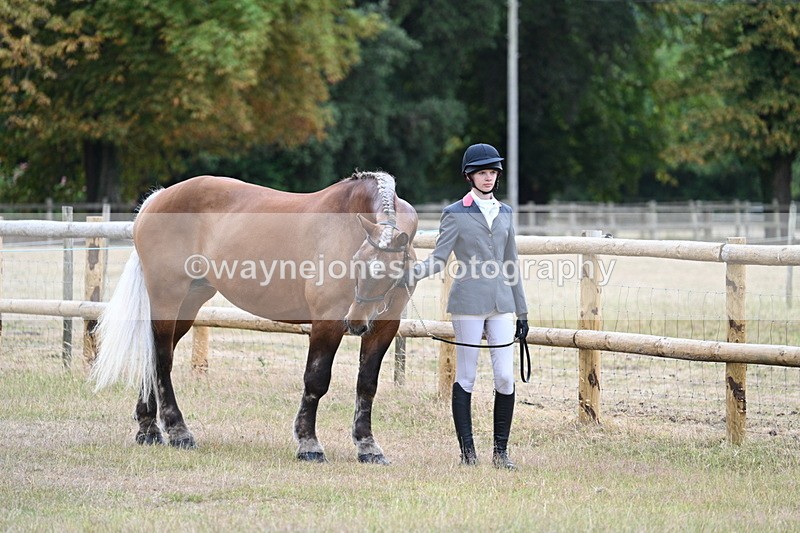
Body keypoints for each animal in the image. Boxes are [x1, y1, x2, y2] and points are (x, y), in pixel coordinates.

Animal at [91, 171, 418, 464]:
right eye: (357, 262)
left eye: (391, 273)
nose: (357, 322)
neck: (347, 223)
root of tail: (156, 199)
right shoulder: (327, 321)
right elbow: (316, 381)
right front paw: (309, 445)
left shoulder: (385, 327)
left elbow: (367, 385)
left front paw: (368, 447)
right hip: (167, 299)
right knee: (161, 360)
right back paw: (178, 432)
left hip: (190, 303)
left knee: (156, 356)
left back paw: (148, 430)